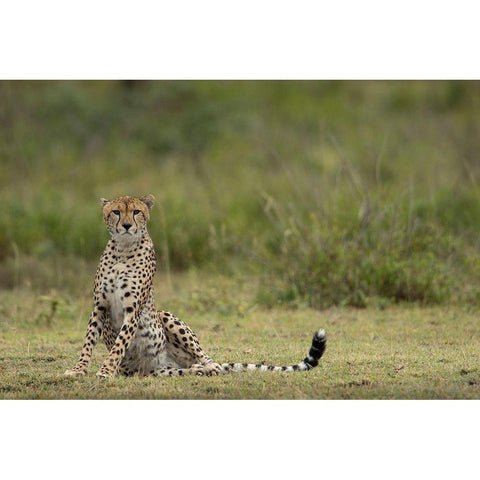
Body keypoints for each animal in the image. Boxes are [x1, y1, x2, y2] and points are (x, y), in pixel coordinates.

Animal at [63, 193, 326, 376]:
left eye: (136, 211)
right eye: (116, 212)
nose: (127, 225)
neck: (123, 250)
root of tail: (157, 364)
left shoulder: (133, 309)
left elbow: (118, 345)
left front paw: (105, 371)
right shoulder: (99, 306)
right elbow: (88, 341)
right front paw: (78, 370)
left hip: (166, 316)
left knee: (208, 358)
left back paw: (210, 367)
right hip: (162, 371)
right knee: (182, 370)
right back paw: (197, 370)